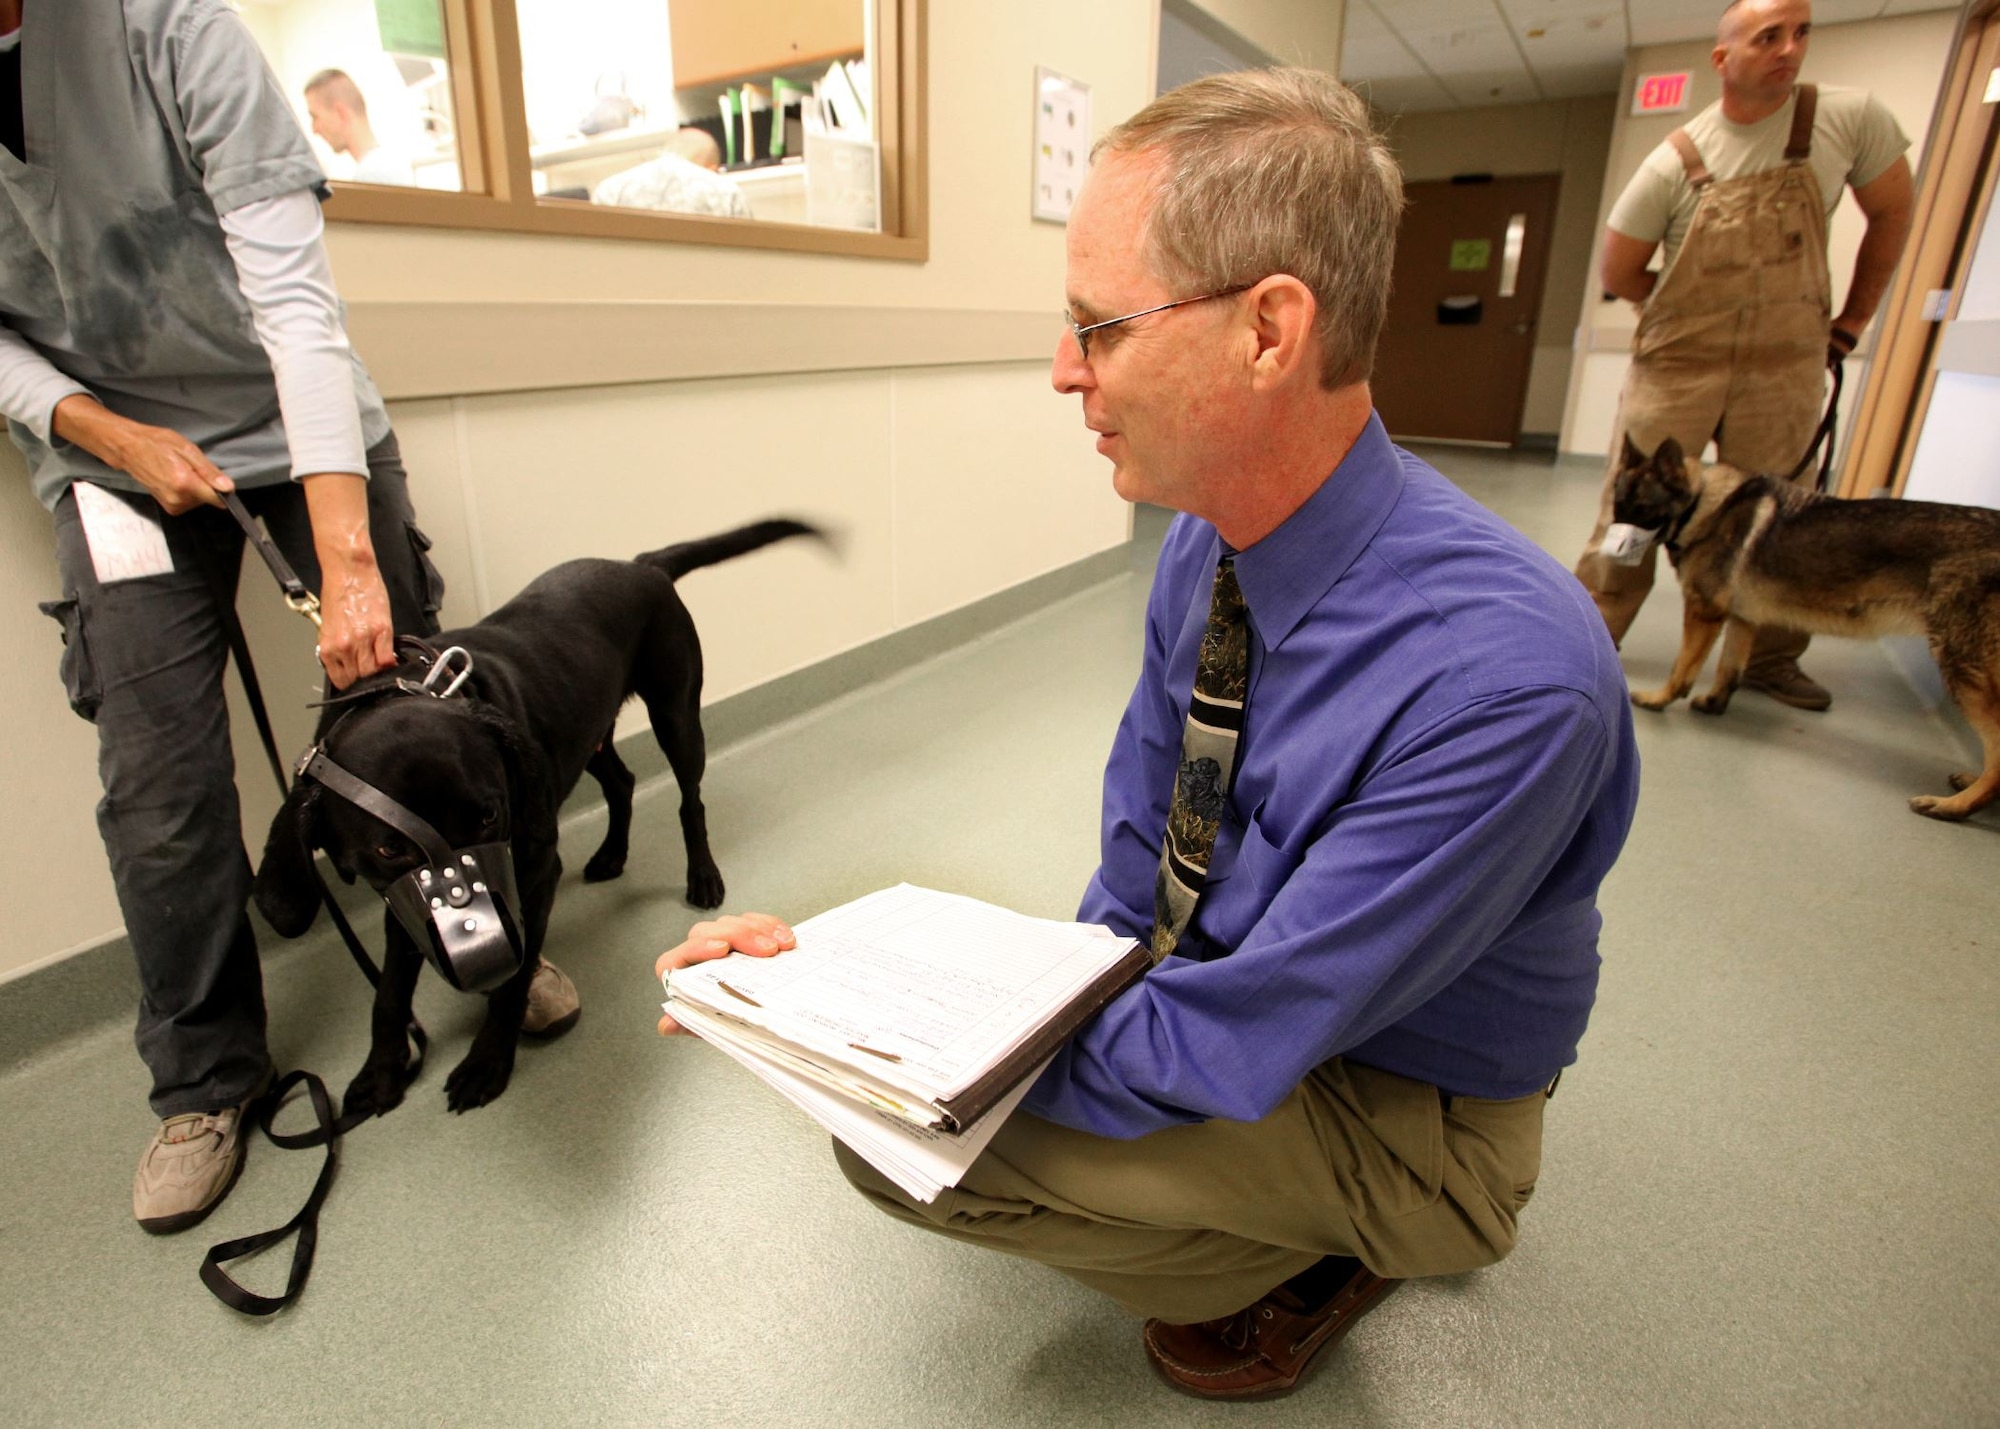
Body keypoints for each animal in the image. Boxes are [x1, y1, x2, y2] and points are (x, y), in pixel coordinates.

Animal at [258, 520, 820, 1112]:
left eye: (489, 816)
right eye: (389, 846)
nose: (485, 959)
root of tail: (638, 565)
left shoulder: (531, 871)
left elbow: (513, 982)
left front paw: (486, 1061)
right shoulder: (398, 896)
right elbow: (388, 992)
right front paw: (380, 1073)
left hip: (676, 714)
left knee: (691, 801)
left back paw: (703, 875)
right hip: (585, 736)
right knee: (621, 782)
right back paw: (611, 855)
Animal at [1608, 428, 2000, 816]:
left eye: (1642, 508)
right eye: (1616, 505)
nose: (1614, 545)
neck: (1704, 503)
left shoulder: (1704, 611)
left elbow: (1682, 668)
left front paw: (1658, 699)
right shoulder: (1743, 619)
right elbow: (1729, 669)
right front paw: (1715, 704)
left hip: (1961, 667)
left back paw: (1955, 805)